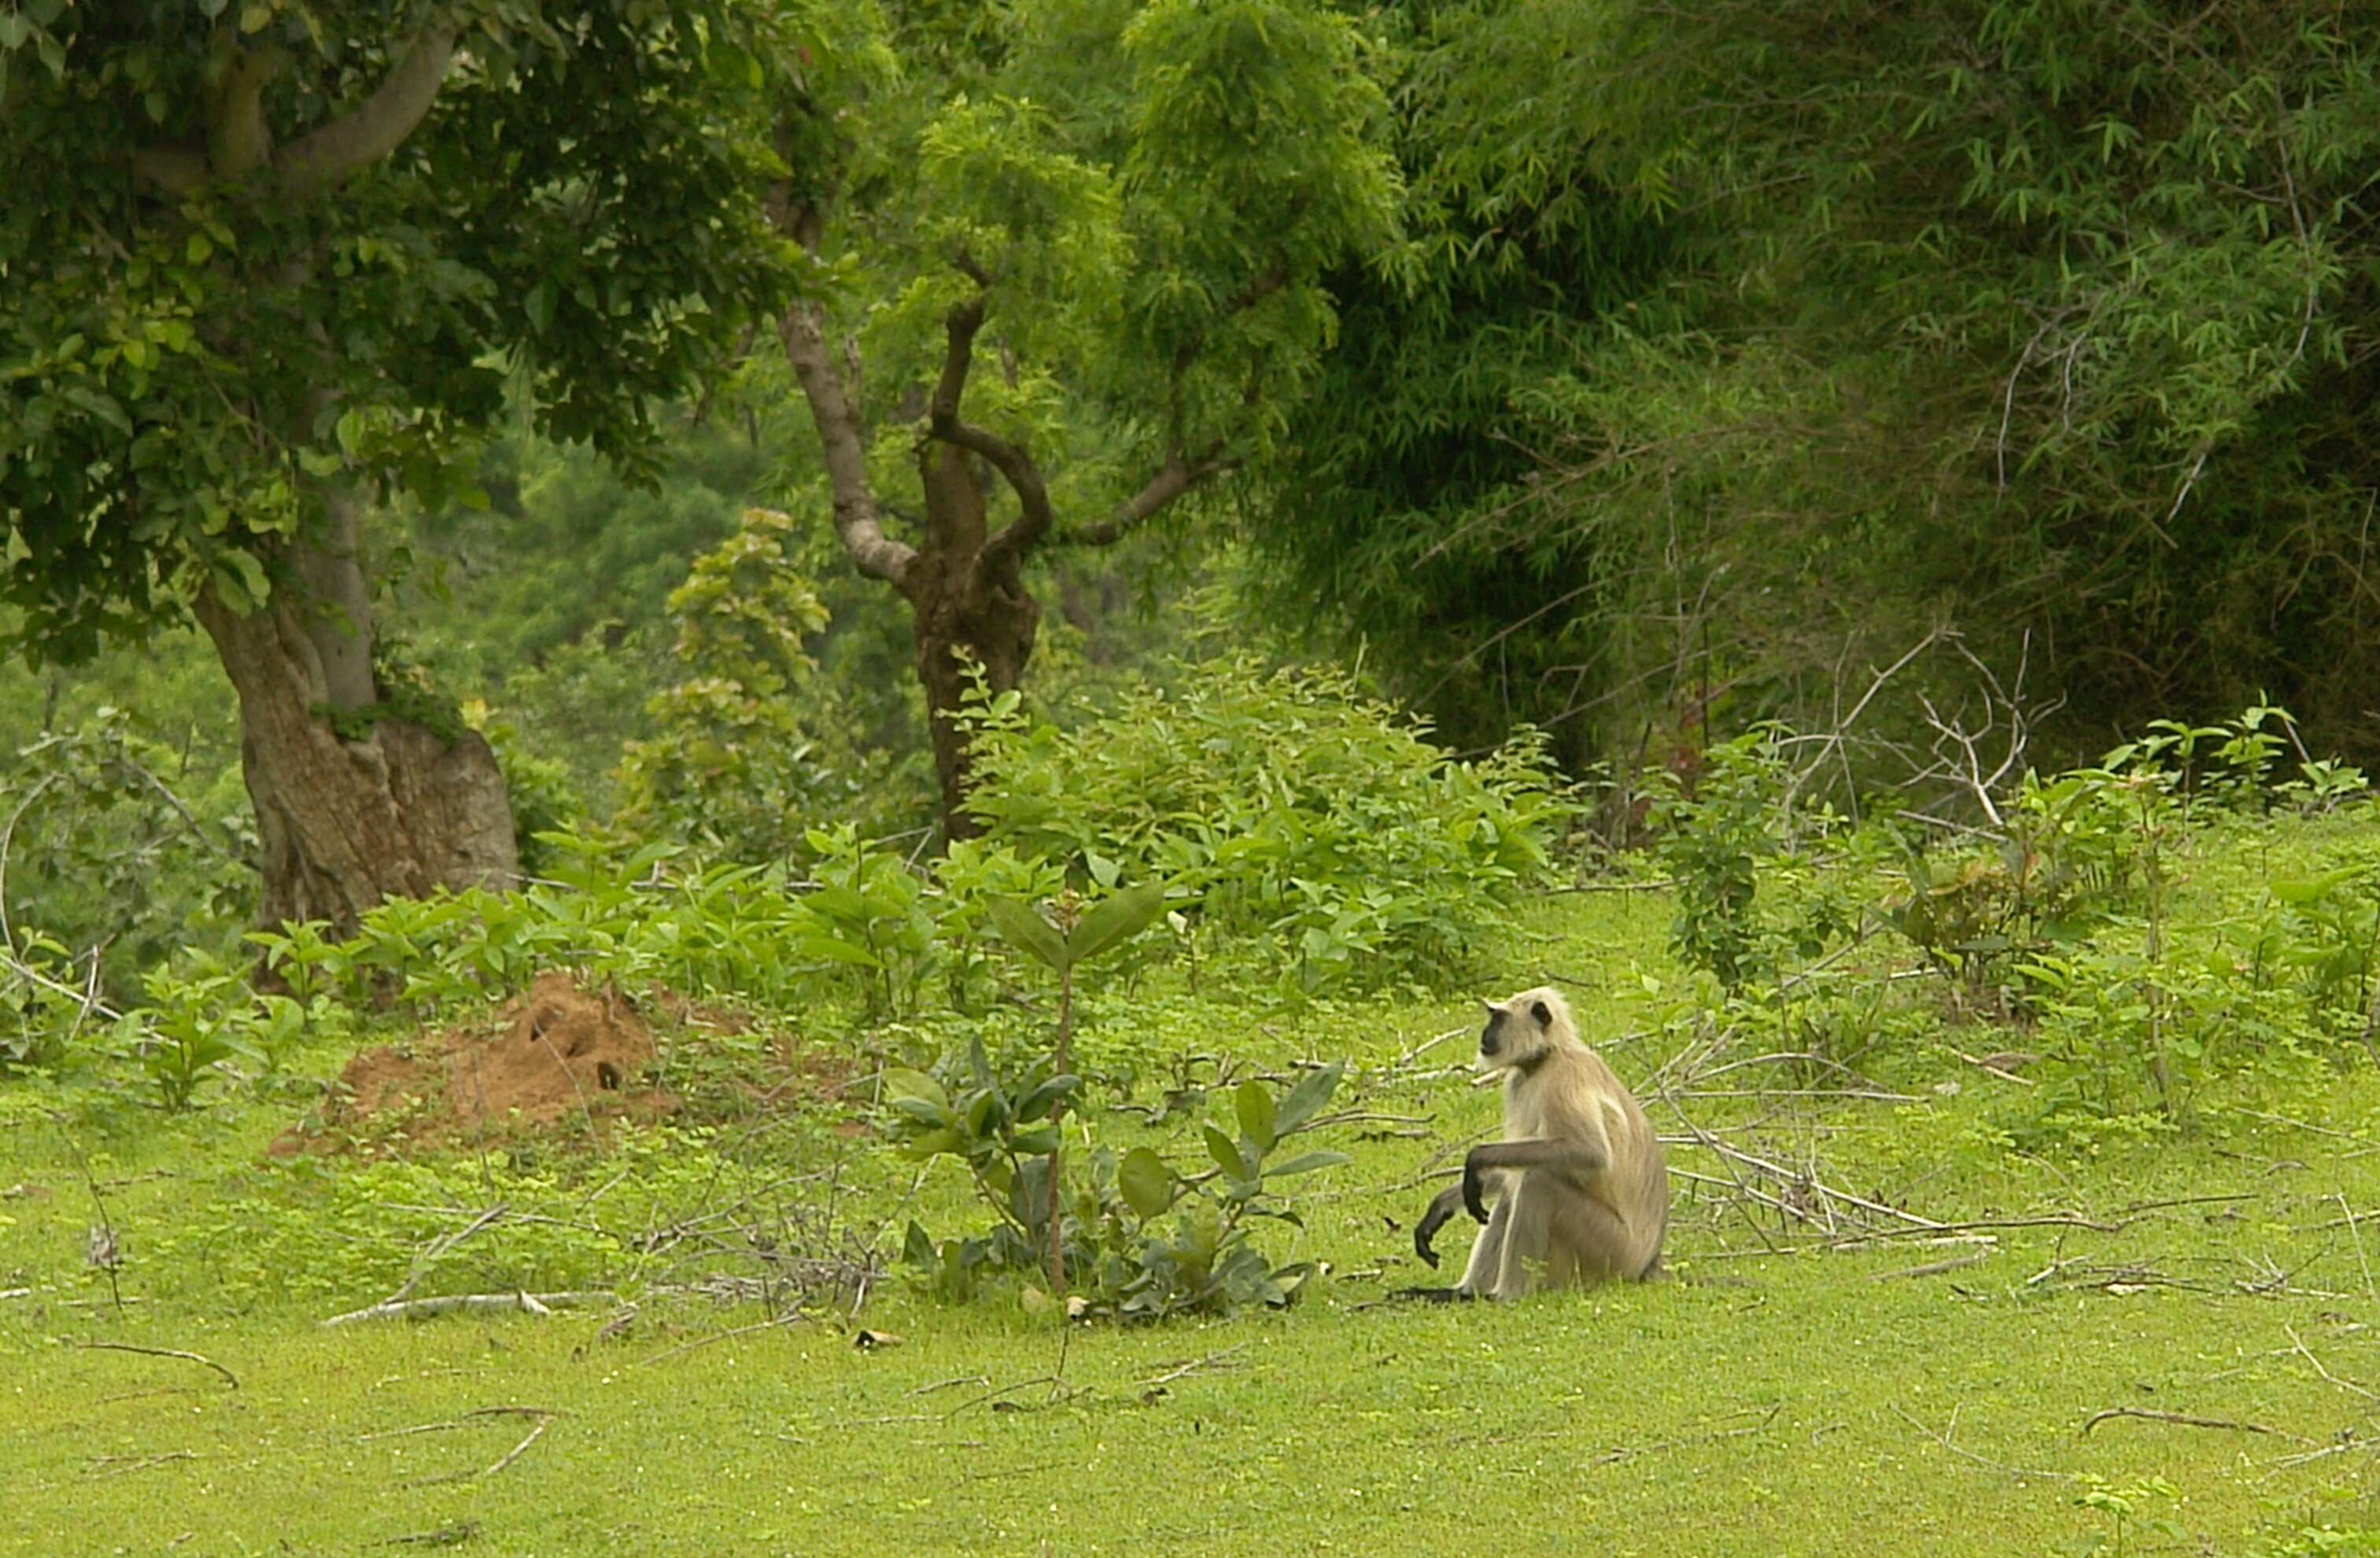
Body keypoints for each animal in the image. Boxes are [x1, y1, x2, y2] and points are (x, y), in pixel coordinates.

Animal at [1399, 989, 1666, 1303]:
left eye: (1498, 1018)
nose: (1485, 1034)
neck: (1545, 1058)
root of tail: (1647, 1262)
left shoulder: (1564, 1078)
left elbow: (1590, 1153)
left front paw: (1476, 1158)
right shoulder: (1517, 1082)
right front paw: (1443, 1204)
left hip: (1611, 1251)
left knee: (1538, 1181)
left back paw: (1503, 1295)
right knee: (1513, 1190)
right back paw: (1463, 1293)